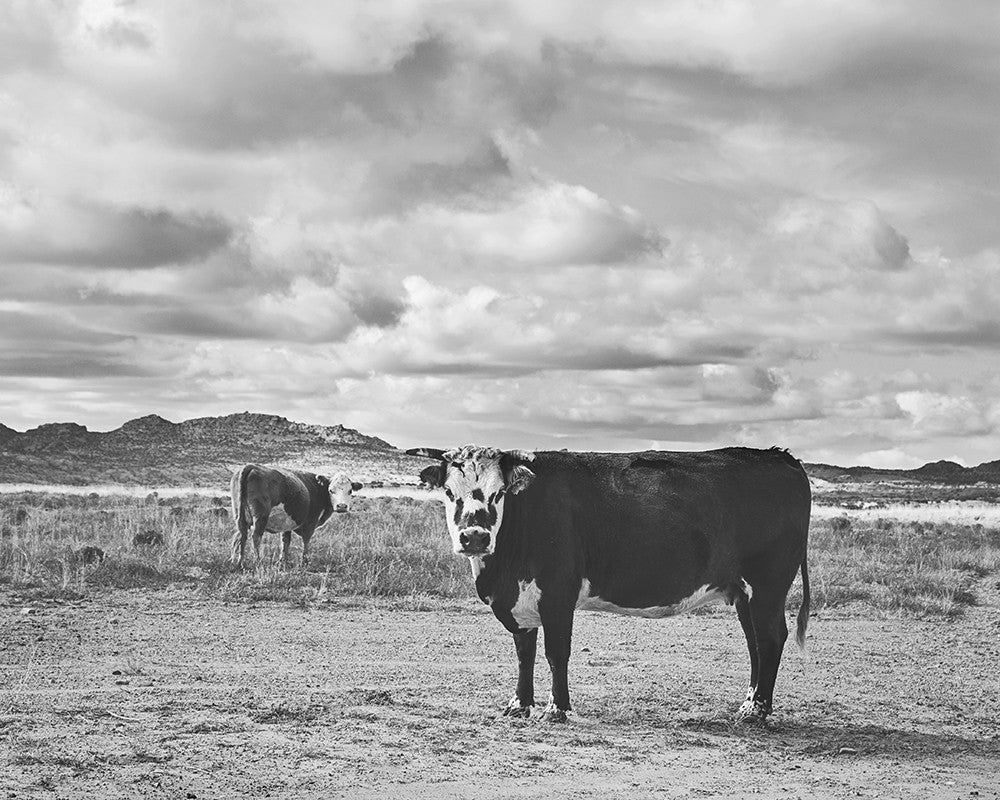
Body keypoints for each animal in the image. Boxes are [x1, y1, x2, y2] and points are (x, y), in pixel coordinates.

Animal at [230, 465, 363, 566]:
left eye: (350, 491)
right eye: (331, 490)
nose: (341, 506)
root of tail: (252, 466)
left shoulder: (286, 524)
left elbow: (285, 541)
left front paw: (283, 561)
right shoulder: (311, 523)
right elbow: (306, 541)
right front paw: (305, 561)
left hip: (239, 516)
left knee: (242, 536)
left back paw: (240, 563)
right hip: (260, 517)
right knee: (256, 537)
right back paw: (258, 561)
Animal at [406, 445, 811, 724]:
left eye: (499, 493)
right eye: (449, 493)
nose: (474, 537)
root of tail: (780, 457)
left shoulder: (557, 594)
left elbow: (556, 653)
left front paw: (557, 710)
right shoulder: (520, 601)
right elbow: (524, 653)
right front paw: (519, 705)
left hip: (768, 585)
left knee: (770, 638)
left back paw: (757, 711)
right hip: (744, 593)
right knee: (755, 644)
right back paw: (749, 703)